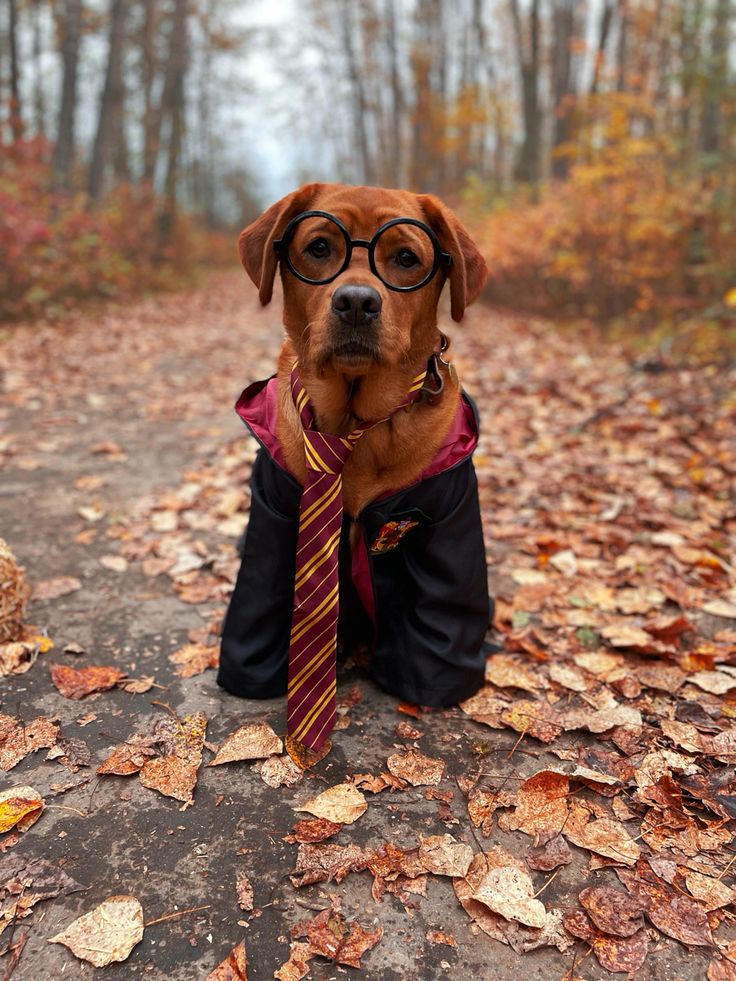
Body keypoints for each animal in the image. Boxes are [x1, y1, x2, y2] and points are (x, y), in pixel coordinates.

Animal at [218, 184, 494, 748]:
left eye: (407, 259)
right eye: (320, 247)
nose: (357, 302)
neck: (354, 424)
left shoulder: (446, 523)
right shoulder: (277, 515)